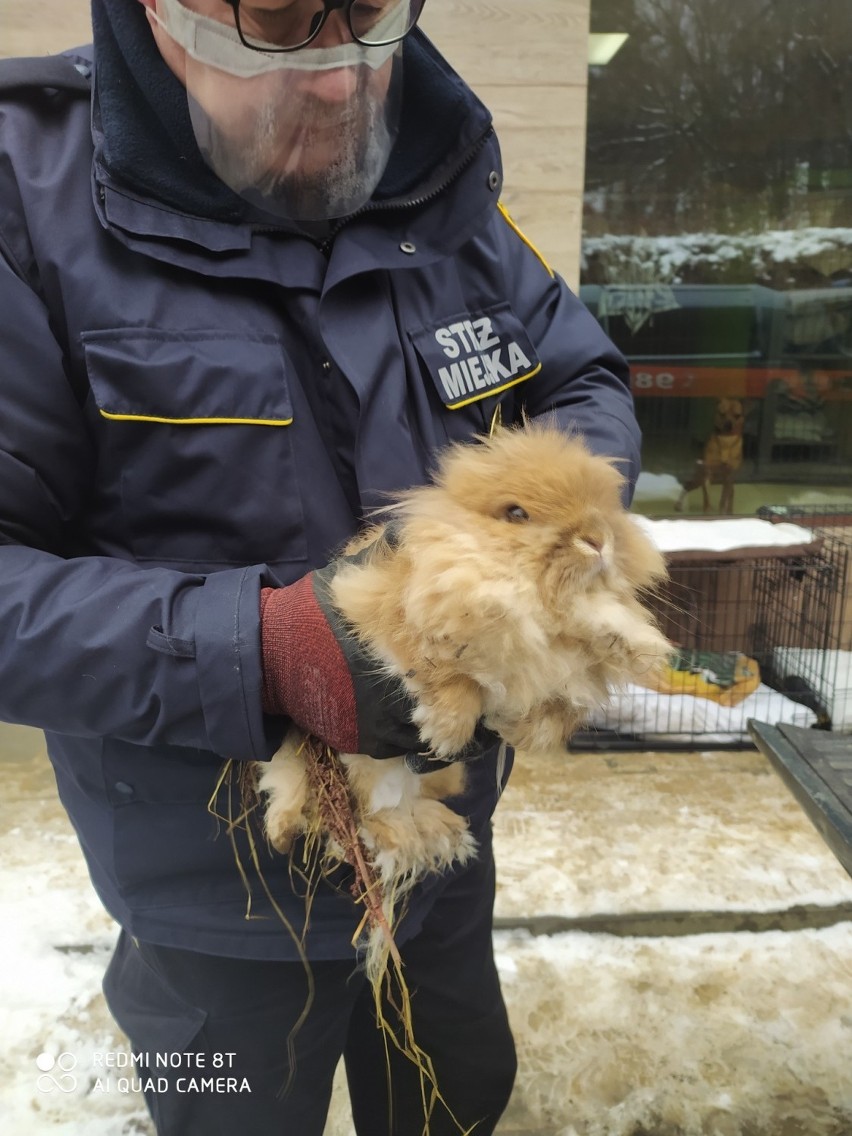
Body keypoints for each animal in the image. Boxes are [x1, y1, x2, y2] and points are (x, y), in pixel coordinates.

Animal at [256, 422, 672, 899]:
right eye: (516, 513)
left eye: (604, 507)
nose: (597, 539)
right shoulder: (384, 612)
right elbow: (447, 675)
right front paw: (444, 734)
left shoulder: (567, 675)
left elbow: (556, 707)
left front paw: (525, 730)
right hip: (304, 744)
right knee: (295, 785)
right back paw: (284, 832)